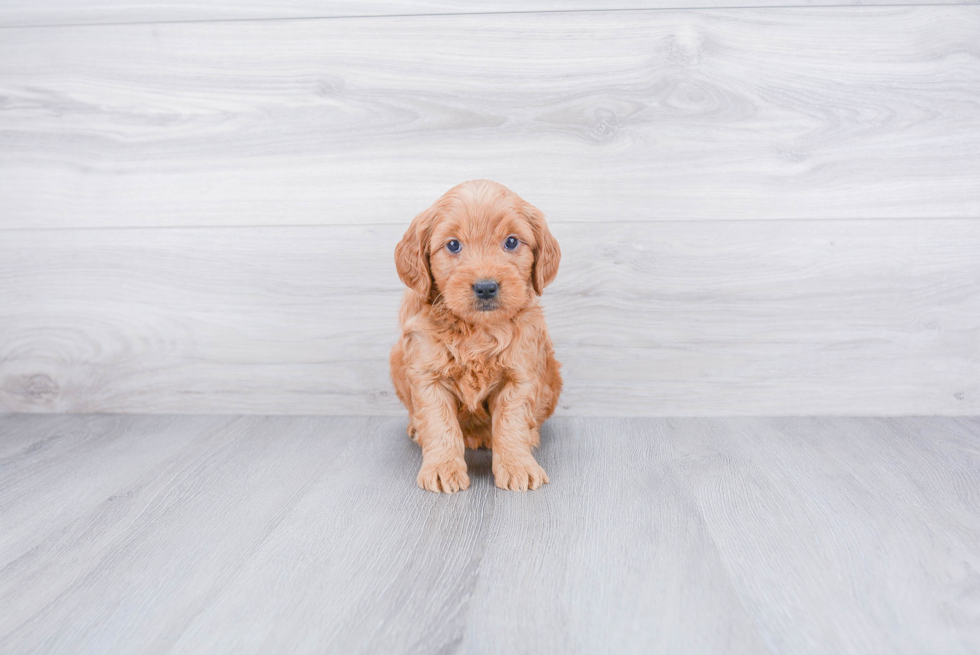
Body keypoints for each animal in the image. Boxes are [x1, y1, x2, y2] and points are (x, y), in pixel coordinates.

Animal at [388, 179, 560, 492]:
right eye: (453, 244)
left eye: (511, 242)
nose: (486, 287)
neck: (477, 330)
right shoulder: (427, 374)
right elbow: (440, 425)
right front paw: (442, 469)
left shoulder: (519, 376)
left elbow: (512, 424)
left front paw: (518, 466)